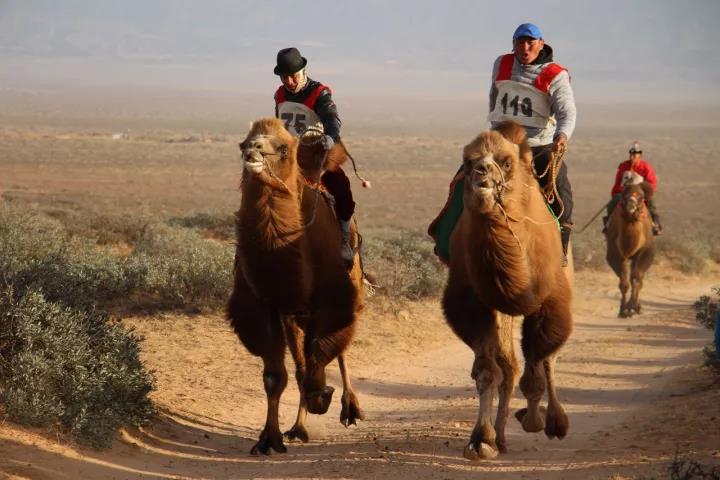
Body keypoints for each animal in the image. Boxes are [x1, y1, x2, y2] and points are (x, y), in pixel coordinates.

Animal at [229, 118, 366, 456]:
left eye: (282, 148)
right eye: (243, 143)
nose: (253, 151)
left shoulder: (332, 302)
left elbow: (323, 351)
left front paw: (323, 396)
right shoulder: (266, 308)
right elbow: (275, 376)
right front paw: (269, 439)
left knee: (339, 350)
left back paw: (350, 408)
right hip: (296, 316)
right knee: (302, 364)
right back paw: (298, 428)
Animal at [438, 121, 572, 462]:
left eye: (506, 162)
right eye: (468, 160)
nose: (482, 172)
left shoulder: (549, 300)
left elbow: (539, 359)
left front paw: (538, 421)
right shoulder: (473, 304)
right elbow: (488, 371)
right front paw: (480, 441)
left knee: (548, 358)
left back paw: (553, 422)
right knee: (508, 368)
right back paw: (499, 437)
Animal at [604, 182, 656, 316]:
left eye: (641, 197)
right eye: (624, 195)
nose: (630, 204)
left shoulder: (645, 252)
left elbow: (636, 279)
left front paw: (633, 307)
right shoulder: (615, 255)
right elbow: (624, 283)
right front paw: (623, 310)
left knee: (639, 278)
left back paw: (638, 306)